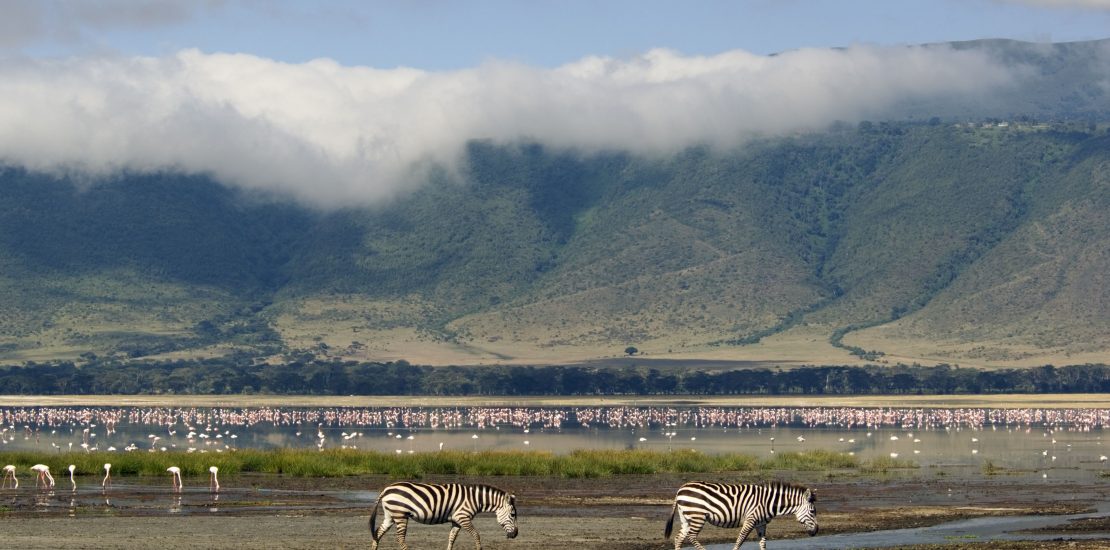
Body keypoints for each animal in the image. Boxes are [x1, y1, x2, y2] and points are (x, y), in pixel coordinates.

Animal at [368, 482, 515, 550]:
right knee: (400, 538)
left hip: (390, 515)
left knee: (378, 532)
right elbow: (476, 535)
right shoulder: (463, 517)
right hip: (400, 515)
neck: (475, 499)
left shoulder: (456, 520)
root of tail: (386, 490)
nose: (515, 534)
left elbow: (452, 538)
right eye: (513, 515)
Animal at [666, 480, 816, 548]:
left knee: (678, 538)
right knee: (691, 536)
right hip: (698, 516)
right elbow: (740, 540)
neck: (768, 502)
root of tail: (680, 489)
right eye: (813, 511)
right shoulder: (751, 520)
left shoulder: (761, 525)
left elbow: (763, 543)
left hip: (686, 518)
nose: (816, 531)